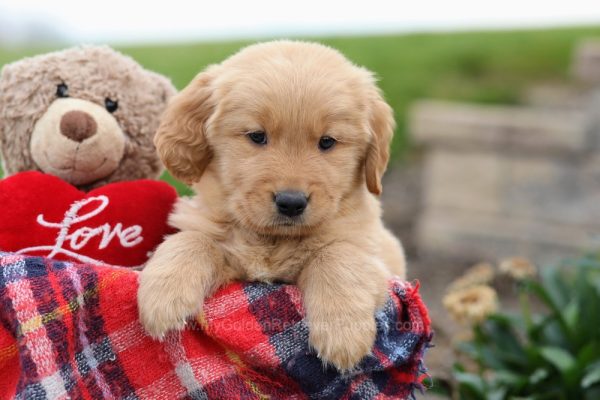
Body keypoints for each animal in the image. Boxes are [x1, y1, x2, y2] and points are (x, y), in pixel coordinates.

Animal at [138, 39, 406, 368]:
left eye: (327, 142)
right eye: (257, 136)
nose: (291, 203)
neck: (272, 241)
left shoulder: (373, 256)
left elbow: (338, 255)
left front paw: (343, 333)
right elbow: (192, 239)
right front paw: (163, 294)